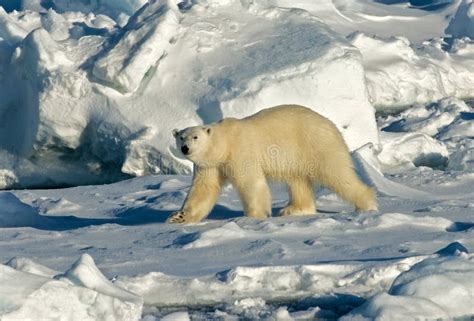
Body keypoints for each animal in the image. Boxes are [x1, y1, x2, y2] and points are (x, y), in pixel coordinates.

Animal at [167, 105, 378, 222]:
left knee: (337, 174)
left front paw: (253, 216)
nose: (185, 148)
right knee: (298, 182)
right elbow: (203, 190)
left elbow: (251, 182)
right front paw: (178, 217)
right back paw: (294, 209)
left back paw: (366, 205)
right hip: (297, 156)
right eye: (181, 137)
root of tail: (331, 125)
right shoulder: (209, 165)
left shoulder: (240, 152)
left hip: (316, 144)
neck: (224, 143)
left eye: (195, 137)